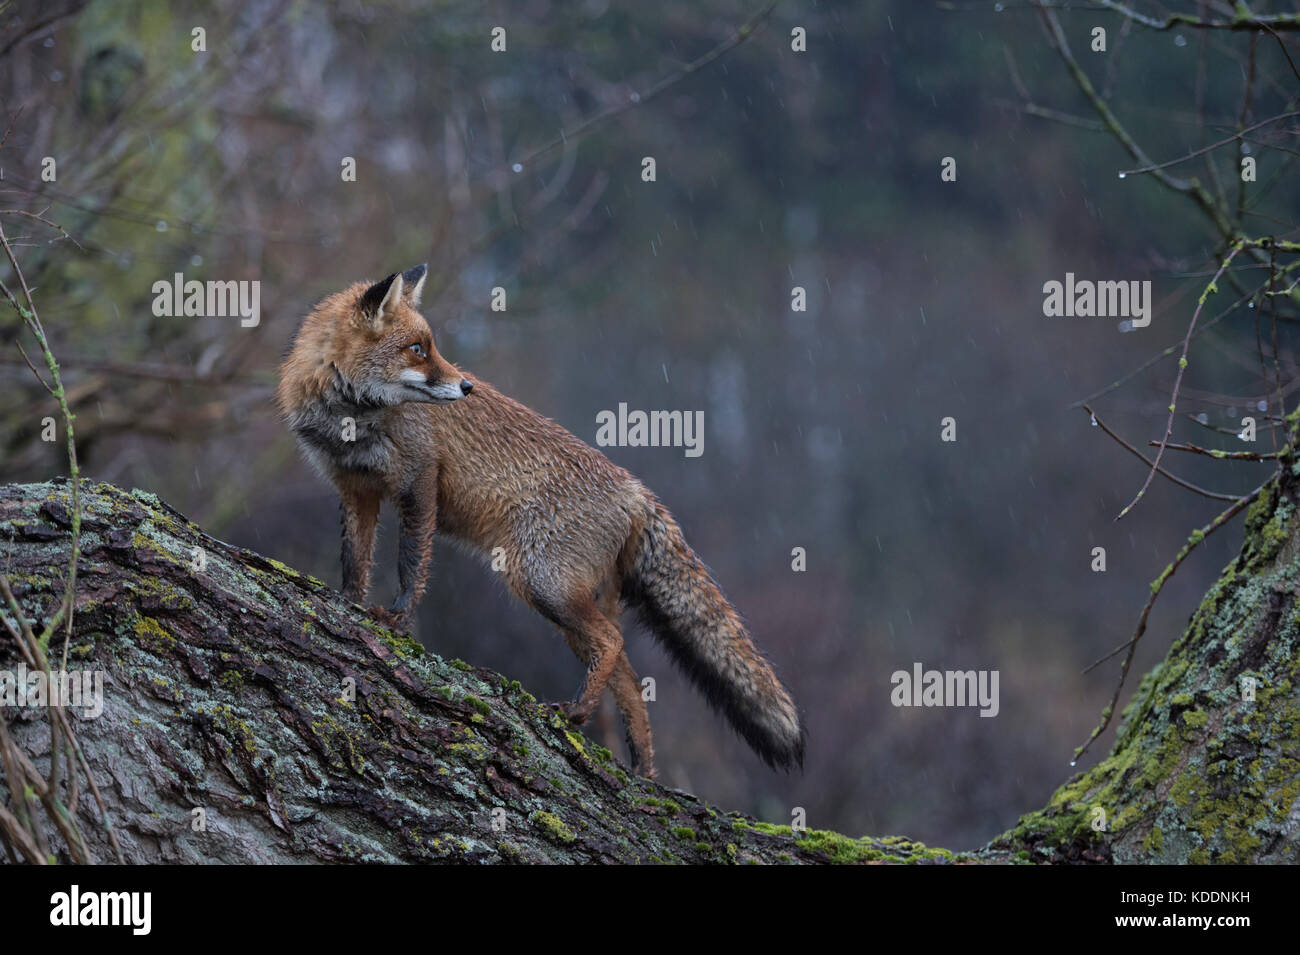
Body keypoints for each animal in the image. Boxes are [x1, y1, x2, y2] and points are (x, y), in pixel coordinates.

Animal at [275, 263, 800, 779]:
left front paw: (397, 618)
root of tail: (637, 491)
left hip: (542, 583)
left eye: (431, 345)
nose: (467, 387)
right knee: (629, 676)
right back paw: (642, 770)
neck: (351, 417)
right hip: (569, 598)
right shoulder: (355, 489)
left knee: (613, 644)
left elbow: (412, 564)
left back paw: (576, 715)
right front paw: (348, 602)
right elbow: (356, 561)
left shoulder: (420, 477)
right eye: (417, 349)